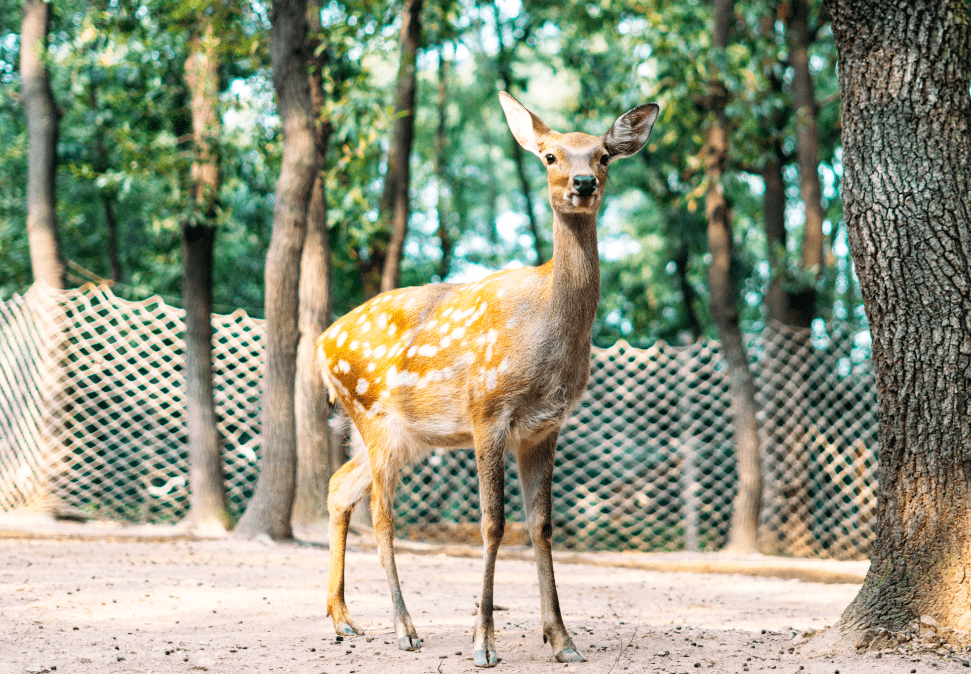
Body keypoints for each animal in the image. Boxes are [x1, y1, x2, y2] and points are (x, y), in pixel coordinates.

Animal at [318, 92, 660, 664]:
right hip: (373, 417)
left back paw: (343, 618)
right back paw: (404, 628)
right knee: (382, 516)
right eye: (549, 155)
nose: (583, 183)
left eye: (603, 154)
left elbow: (541, 526)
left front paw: (562, 640)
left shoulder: (544, 427)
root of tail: (321, 345)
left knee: (340, 486)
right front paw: (483, 643)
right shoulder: (488, 411)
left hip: (405, 437)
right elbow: (493, 523)